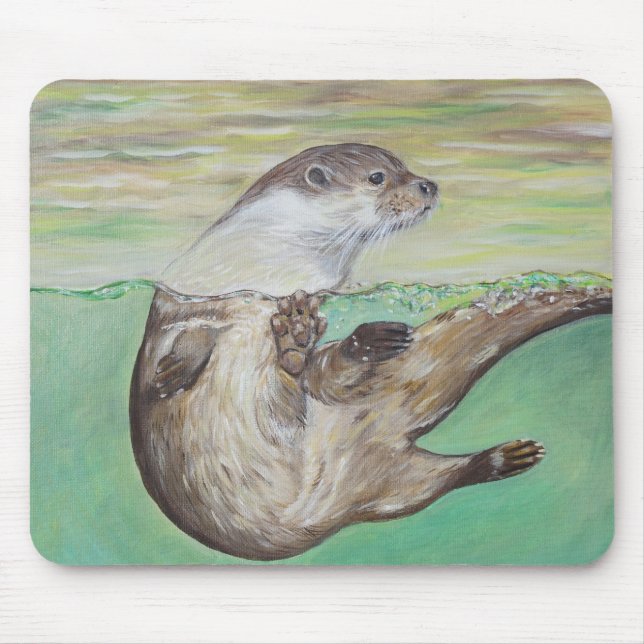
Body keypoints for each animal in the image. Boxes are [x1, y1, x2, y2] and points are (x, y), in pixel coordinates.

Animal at [130, 143, 609, 560]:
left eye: (406, 168)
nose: (428, 185)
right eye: (378, 177)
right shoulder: (182, 299)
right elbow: (174, 346)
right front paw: (173, 371)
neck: (273, 267)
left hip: (392, 486)